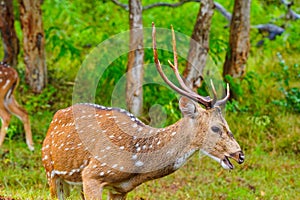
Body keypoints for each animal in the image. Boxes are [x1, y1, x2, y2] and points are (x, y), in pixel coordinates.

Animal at [41, 23, 244, 200]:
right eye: (216, 128)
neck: (137, 164)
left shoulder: (120, 189)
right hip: (50, 170)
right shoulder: (92, 174)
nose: (240, 155)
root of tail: (56, 115)